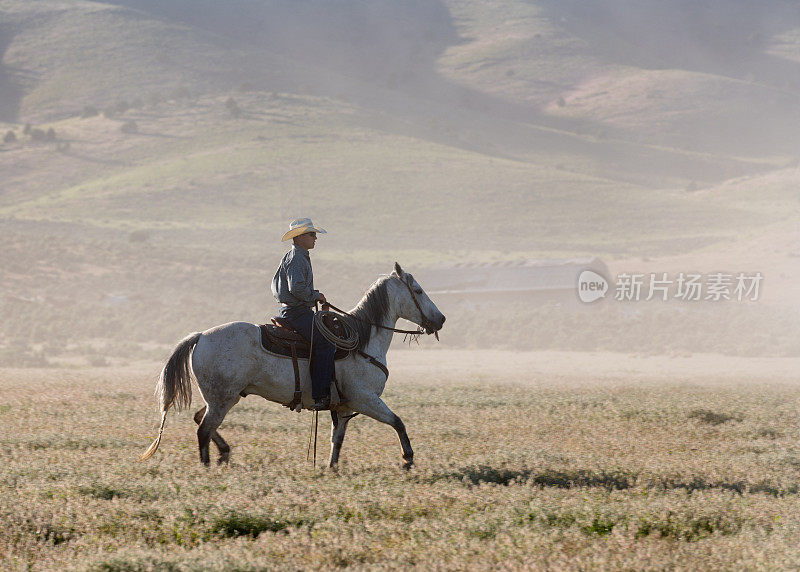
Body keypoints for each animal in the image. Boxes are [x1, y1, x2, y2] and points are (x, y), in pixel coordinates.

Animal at [141, 264, 446, 470]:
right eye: (418, 290)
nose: (441, 319)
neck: (363, 340)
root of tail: (201, 335)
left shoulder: (344, 407)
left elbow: (337, 439)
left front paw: (331, 468)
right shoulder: (365, 399)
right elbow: (398, 422)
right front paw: (408, 459)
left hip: (224, 398)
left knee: (200, 420)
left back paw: (224, 454)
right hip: (222, 399)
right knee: (203, 429)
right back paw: (207, 466)